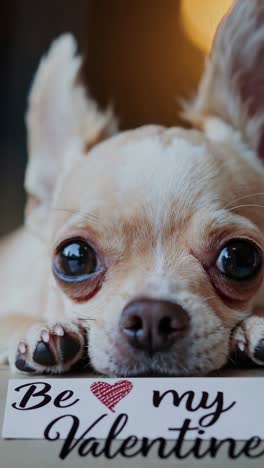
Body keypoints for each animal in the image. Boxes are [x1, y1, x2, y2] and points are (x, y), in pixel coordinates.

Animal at [0, 0, 264, 376]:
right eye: (74, 258)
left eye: (240, 258)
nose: (153, 315)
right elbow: (12, 317)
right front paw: (40, 328)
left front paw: (253, 326)